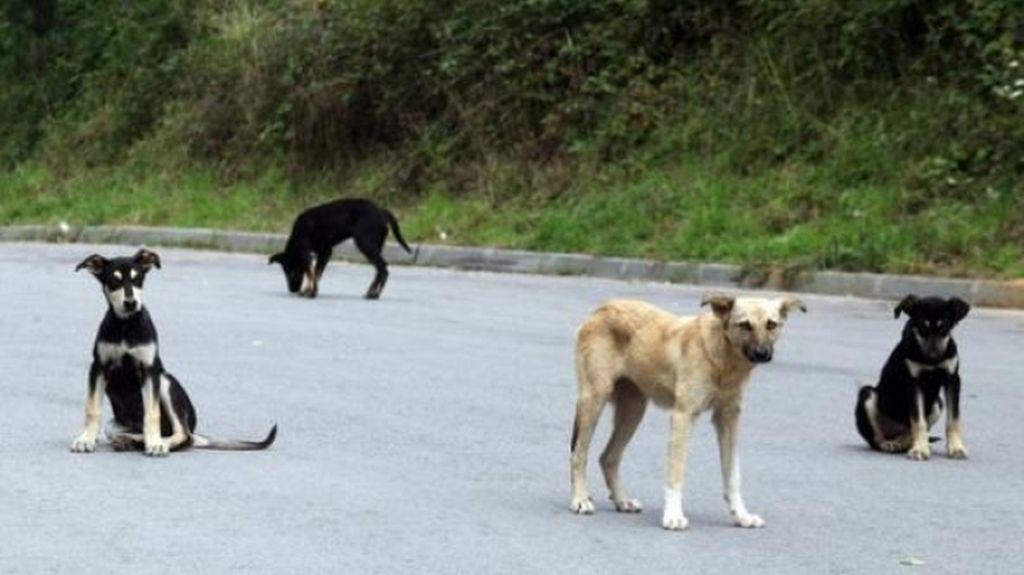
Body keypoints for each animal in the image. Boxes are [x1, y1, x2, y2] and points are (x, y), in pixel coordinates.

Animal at [72, 248, 276, 454]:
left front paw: (154, 443)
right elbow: (92, 409)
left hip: (166, 382)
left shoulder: (150, 370)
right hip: (116, 423)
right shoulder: (99, 368)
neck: (126, 325)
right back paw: (128, 441)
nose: (131, 303)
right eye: (114, 281)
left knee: (184, 436)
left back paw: (158, 443)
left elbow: (152, 413)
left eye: (138, 279)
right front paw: (86, 439)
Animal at [272, 196, 415, 296]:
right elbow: (315, 273)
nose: (292, 290)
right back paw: (371, 291)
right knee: (379, 270)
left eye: (290, 271)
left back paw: (374, 294)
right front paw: (309, 290)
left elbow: (312, 273)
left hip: (365, 243)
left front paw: (311, 292)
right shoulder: (324, 252)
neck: (297, 235)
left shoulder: (314, 253)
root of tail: (382, 211)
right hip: (376, 245)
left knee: (383, 268)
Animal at [569, 294, 806, 527]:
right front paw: (673, 515)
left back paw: (622, 500)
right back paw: (580, 499)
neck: (723, 359)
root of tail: (601, 308)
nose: (762, 353)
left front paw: (741, 515)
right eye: (744, 325)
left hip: (633, 411)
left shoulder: (728, 419)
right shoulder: (683, 416)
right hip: (594, 399)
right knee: (579, 454)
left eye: (771, 324)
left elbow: (732, 474)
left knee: (608, 457)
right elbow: (676, 473)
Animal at [851, 292, 970, 458]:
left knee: (910, 431)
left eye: (944, 328)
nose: (933, 356)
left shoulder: (952, 380)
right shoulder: (913, 383)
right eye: (921, 327)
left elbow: (953, 420)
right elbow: (918, 421)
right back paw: (892, 444)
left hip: (937, 404)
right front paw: (920, 449)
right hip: (867, 394)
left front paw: (956, 447)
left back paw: (909, 442)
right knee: (876, 439)